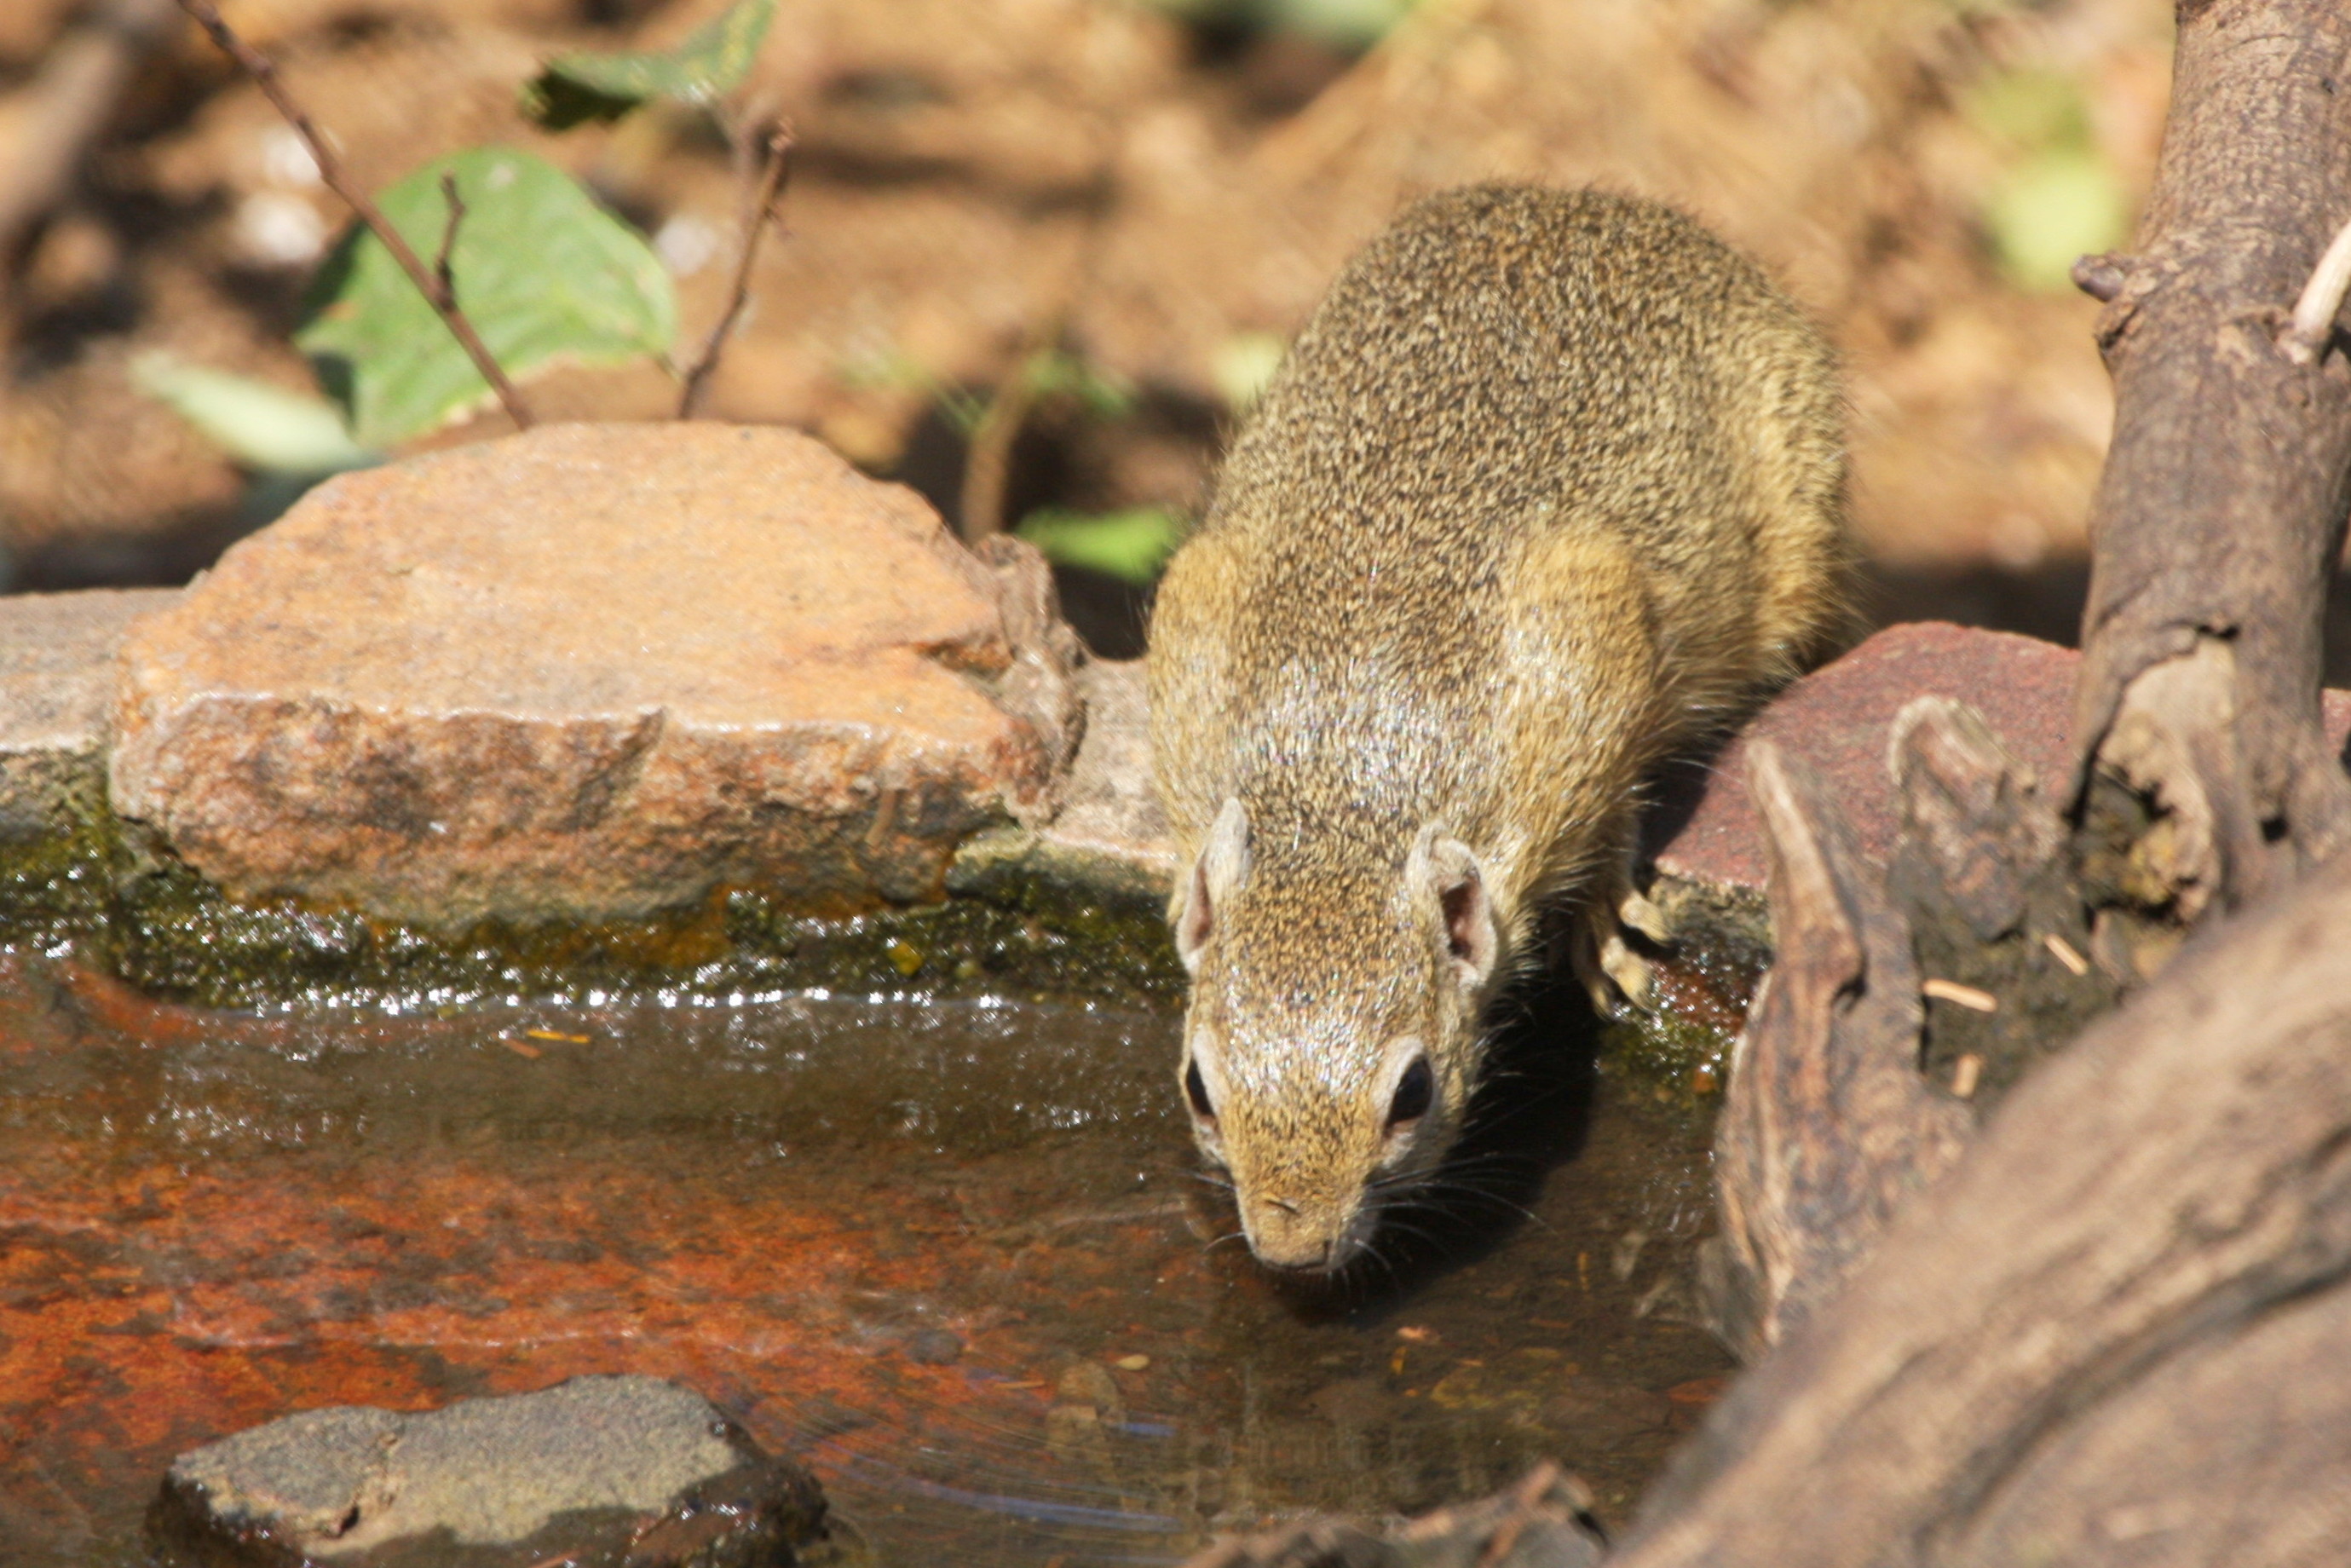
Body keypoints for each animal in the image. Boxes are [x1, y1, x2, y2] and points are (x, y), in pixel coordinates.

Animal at [1147, 184, 1843, 1278]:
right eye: (1196, 1087)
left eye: (1413, 1093)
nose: (1293, 1247)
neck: (1342, 799)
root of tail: (1584, 202)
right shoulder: (1194, 624)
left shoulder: (1586, 646)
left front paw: (1602, 910)